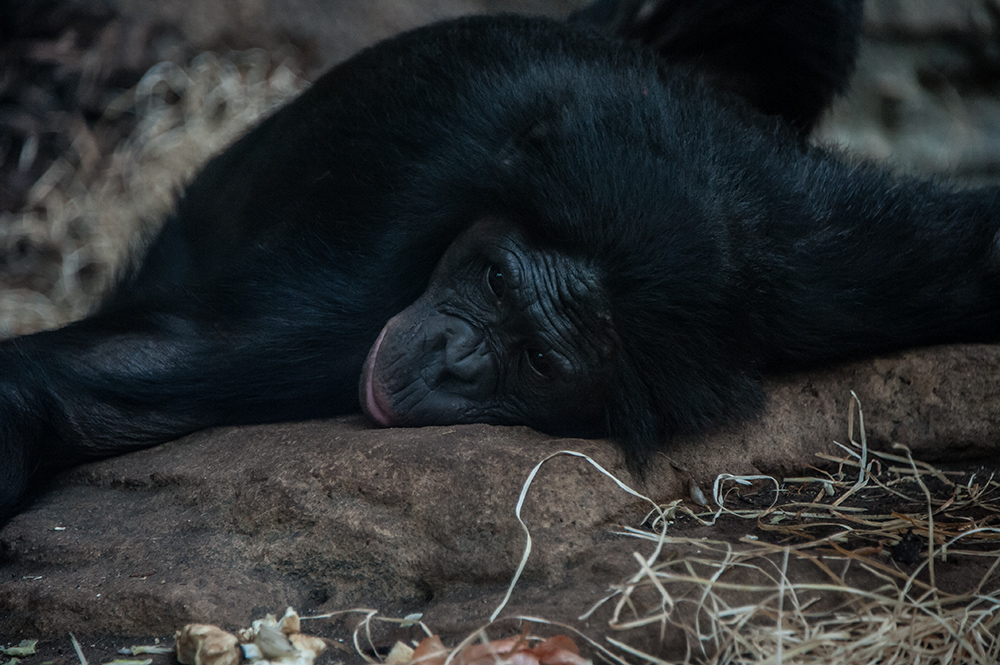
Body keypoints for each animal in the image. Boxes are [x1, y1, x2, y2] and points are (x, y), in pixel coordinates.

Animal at [0, 0, 996, 524]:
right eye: (496, 279)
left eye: (542, 359)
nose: (455, 357)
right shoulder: (368, 265)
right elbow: (109, 378)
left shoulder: (841, 261)